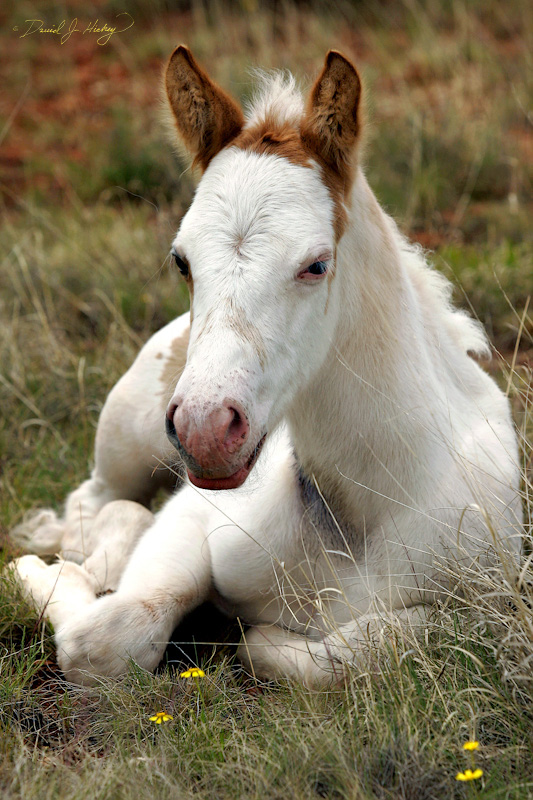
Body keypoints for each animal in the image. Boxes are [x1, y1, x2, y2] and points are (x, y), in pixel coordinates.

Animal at [11, 46, 522, 687]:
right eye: (181, 260)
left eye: (316, 264)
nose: (204, 429)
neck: (360, 515)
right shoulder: (193, 517)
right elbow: (107, 639)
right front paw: (36, 571)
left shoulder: (479, 610)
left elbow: (338, 651)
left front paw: (252, 634)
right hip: (130, 440)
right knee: (99, 499)